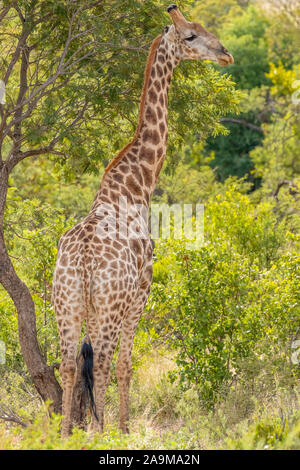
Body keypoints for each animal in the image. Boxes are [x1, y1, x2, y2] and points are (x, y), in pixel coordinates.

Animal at [52, 3, 234, 438]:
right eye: (190, 35)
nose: (225, 54)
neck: (137, 183)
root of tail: (83, 263)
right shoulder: (142, 293)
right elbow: (126, 365)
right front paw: (124, 428)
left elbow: (94, 366)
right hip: (108, 306)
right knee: (102, 363)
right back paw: (98, 433)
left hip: (66, 303)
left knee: (68, 365)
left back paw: (65, 435)